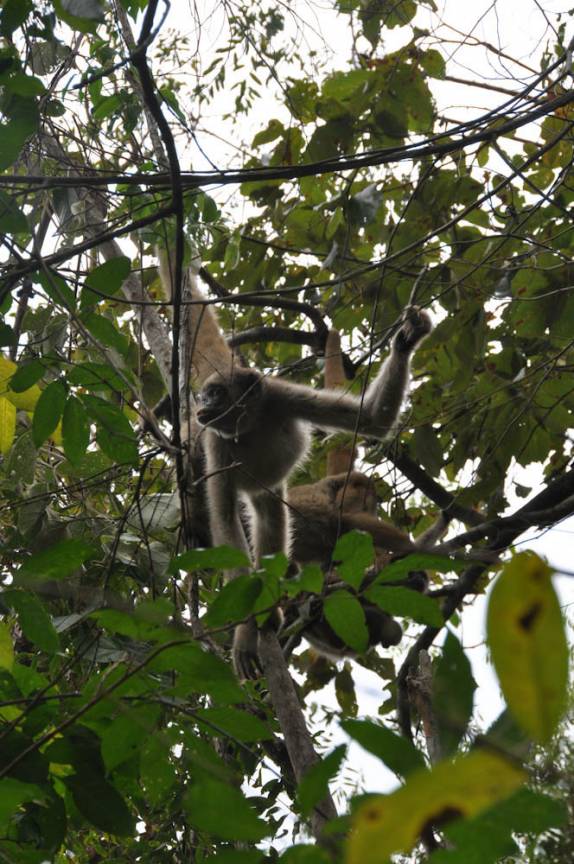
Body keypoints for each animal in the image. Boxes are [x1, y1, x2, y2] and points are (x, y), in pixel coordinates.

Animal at [196, 308, 434, 680]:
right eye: (205, 395)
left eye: (216, 394)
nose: (203, 404)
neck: (251, 423)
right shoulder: (215, 440)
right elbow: (223, 518)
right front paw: (245, 633)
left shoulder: (280, 396)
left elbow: (372, 421)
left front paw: (407, 341)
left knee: (299, 517)